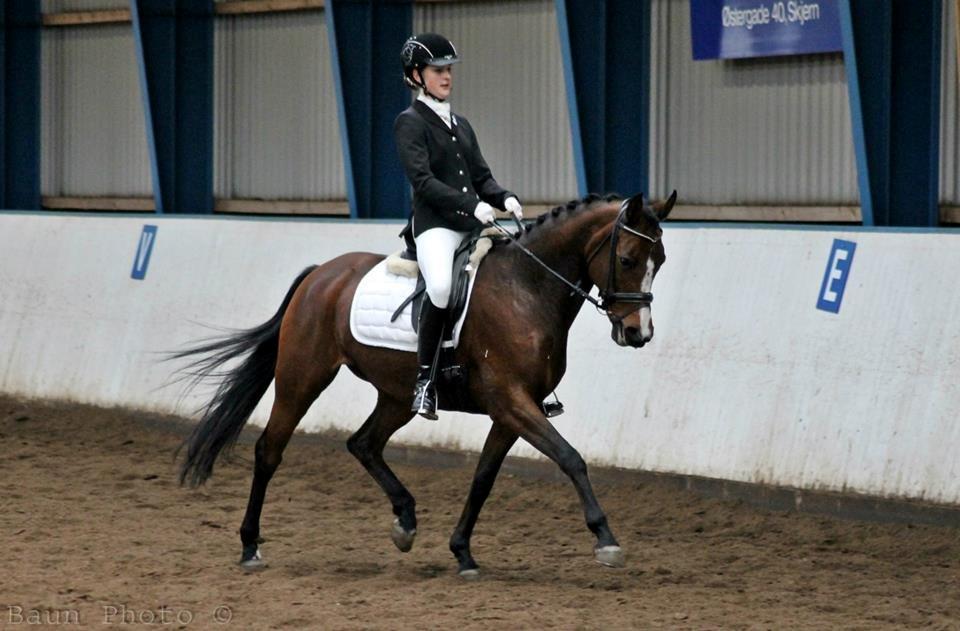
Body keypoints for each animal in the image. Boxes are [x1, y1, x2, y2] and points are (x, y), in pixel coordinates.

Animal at [173, 190, 676, 577]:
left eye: (662, 260)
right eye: (627, 259)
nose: (640, 333)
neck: (526, 289)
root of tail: (321, 274)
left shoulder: (511, 411)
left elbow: (483, 479)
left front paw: (463, 553)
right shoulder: (512, 401)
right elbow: (571, 458)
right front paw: (606, 539)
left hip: (397, 395)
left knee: (363, 444)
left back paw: (406, 520)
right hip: (302, 377)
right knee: (270, 451)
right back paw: (250, 546)